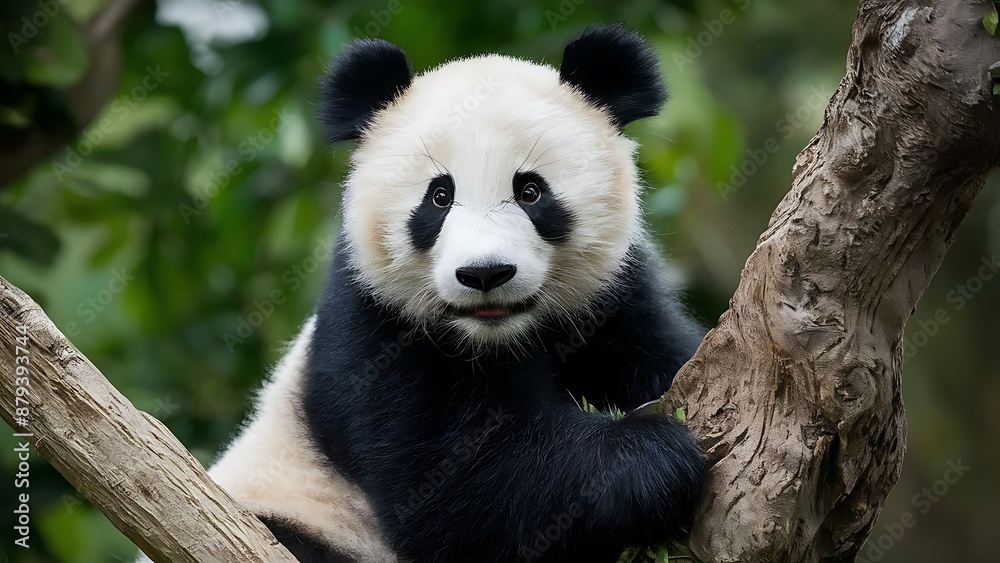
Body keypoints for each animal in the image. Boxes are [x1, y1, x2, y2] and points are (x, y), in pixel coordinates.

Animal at [147, 23, 707, 563]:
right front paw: (649, 456)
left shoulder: (615, 299)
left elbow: (662, 354)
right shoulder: (375, 329)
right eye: (439, 197)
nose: (485, 274)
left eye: (531, 191)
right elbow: (453, 491)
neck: (500, 336)